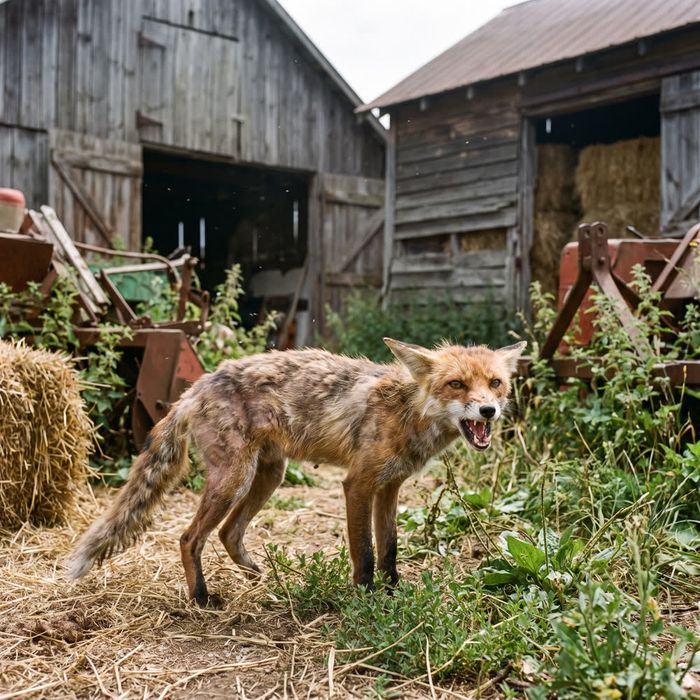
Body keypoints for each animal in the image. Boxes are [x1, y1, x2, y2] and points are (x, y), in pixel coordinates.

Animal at [67, 338, 526, 607]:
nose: (489, 410)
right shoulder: (358, 484)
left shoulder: (389, 487)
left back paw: (261, 578)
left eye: (496, 383)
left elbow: (389, 549)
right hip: (233, 479)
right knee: (189, 538)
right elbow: (365, 552)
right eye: (456, 384)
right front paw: (366, 600)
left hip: (268, 476)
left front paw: (394, 593)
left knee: (228, 534)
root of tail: (195, 387)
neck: (405, 410)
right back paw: (201, 597)